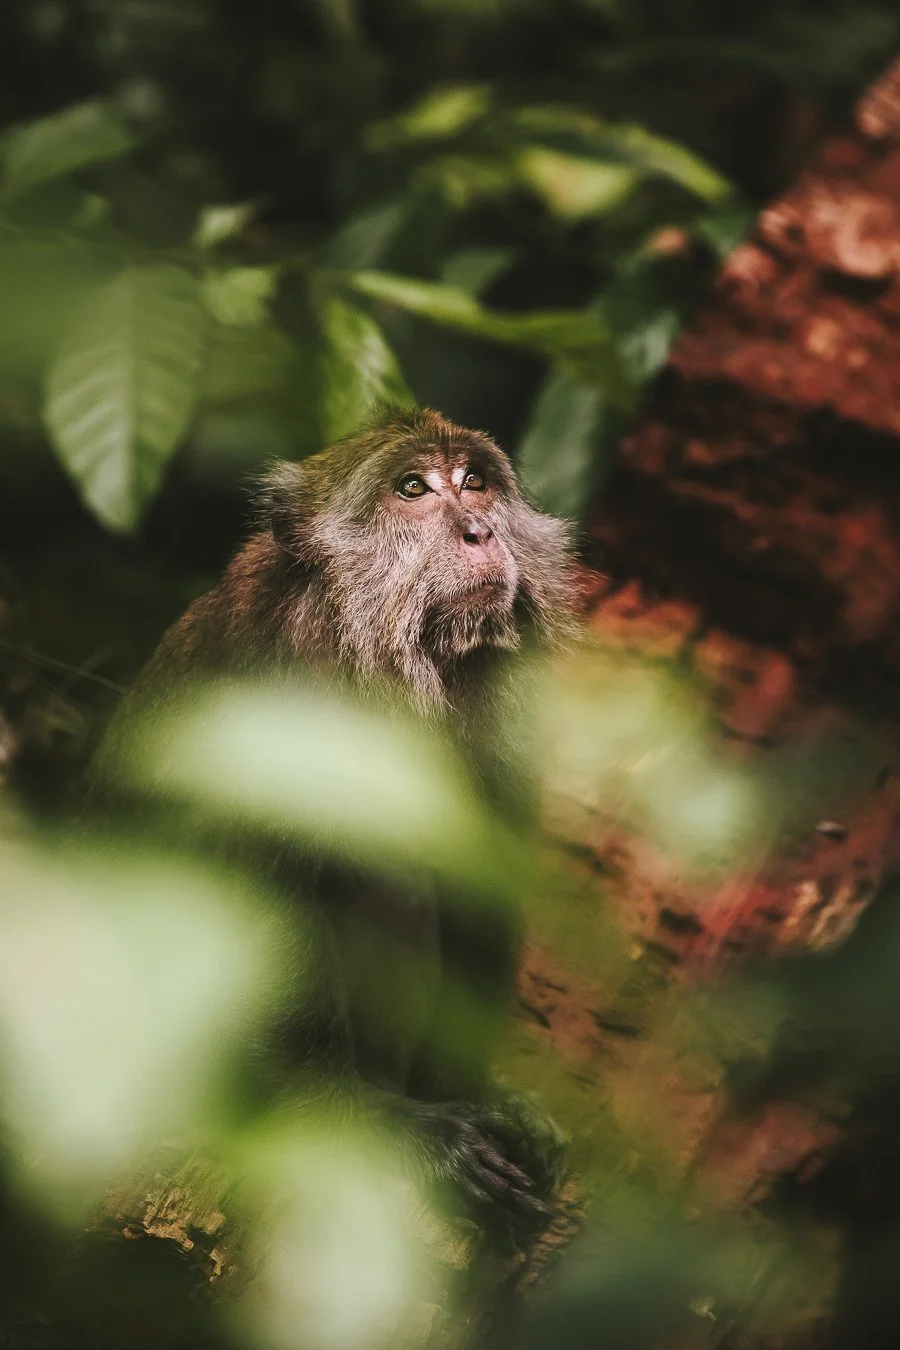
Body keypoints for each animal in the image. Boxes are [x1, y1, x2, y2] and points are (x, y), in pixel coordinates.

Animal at [87, 407, 575, 1242]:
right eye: (413, 489)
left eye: (475, 481)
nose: (478, 529)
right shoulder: (291, 691)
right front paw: (384, 1126)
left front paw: (481, 1097)